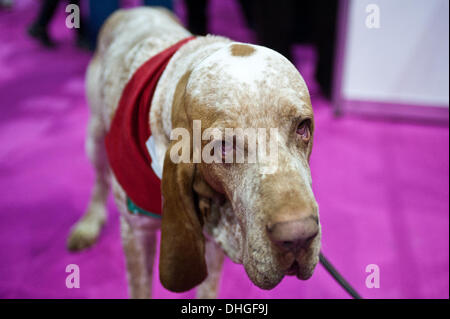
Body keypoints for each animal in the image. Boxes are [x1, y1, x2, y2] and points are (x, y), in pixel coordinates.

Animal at [67, 7, 320, 300]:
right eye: (223, 146)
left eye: (303, 127)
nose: (299, 236)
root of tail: (135, 9)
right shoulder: (136, 232)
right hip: (95, 137)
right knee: (100, 180)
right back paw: (89, 223)